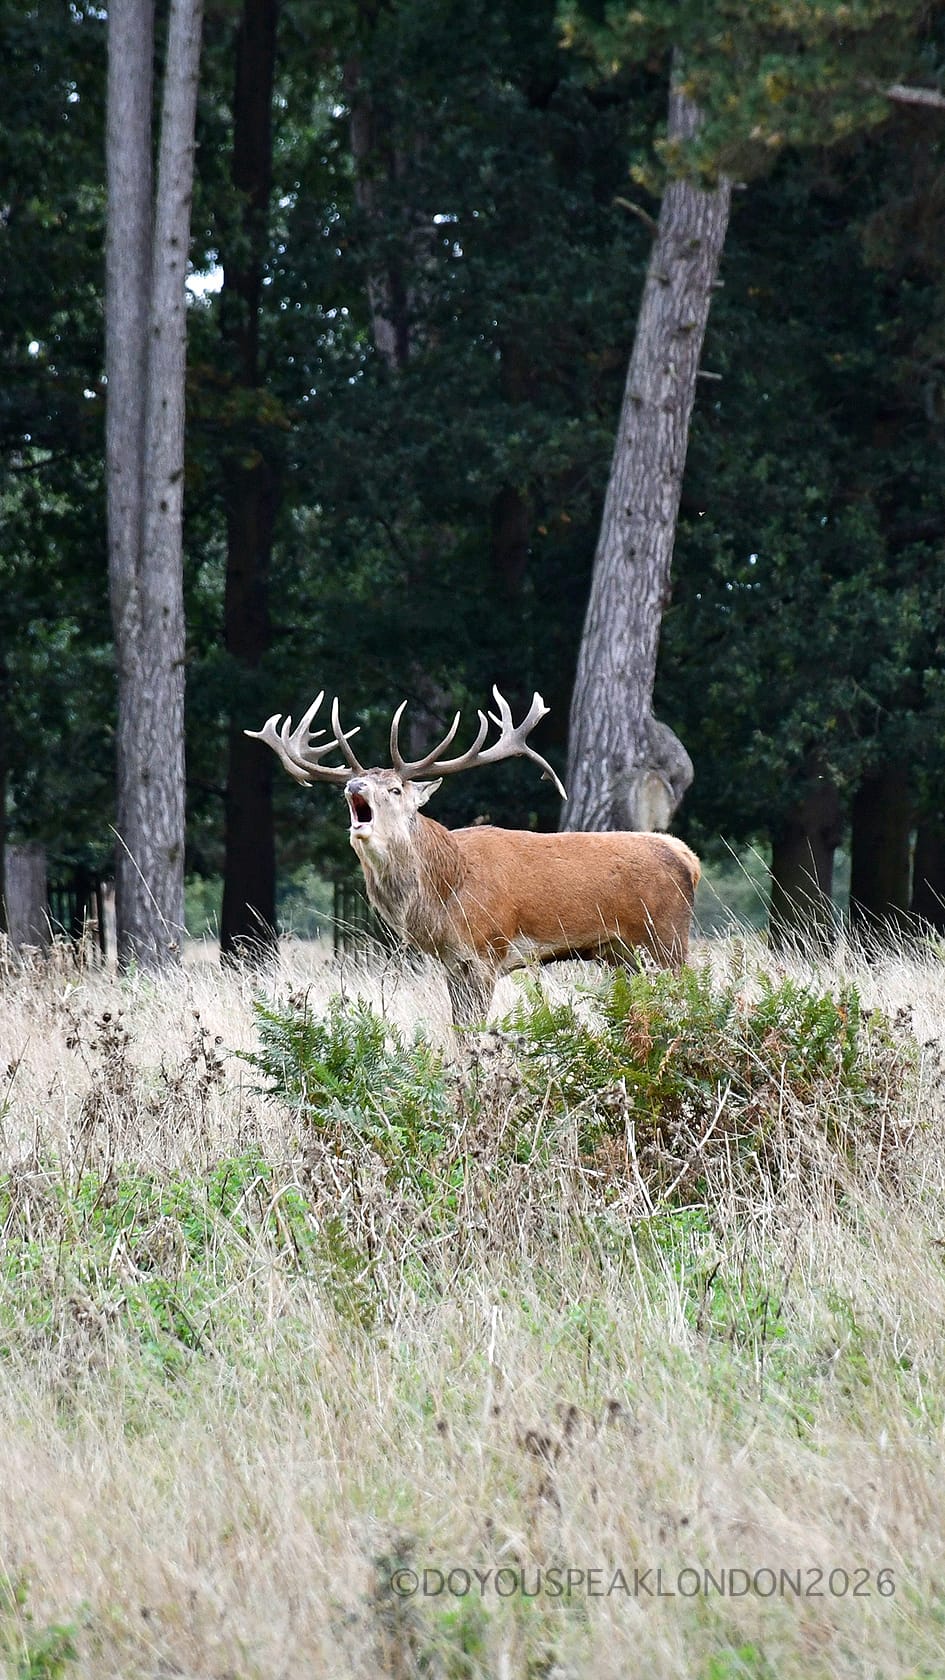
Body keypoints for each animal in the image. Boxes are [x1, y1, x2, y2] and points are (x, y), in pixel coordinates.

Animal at [246, 688, 701, 1026]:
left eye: (394, 788)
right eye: (355, 787)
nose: (352, 785)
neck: (444, 894)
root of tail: (687, 858)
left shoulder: (487, 950)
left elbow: (476, 1032)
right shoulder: (452, 962)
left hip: (667, 937)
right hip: (624, 955)